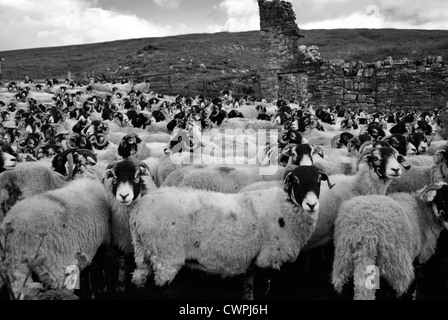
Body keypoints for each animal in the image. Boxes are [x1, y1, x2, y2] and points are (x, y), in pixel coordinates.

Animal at [126, 165, 332, 290]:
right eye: (295, 180)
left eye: (318, 180)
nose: (311, 204)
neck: (285, 209)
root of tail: (140, 209)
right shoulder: (268, 259)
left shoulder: (256, 262)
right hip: (166, 257)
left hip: (143, 254)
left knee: (139, 279)